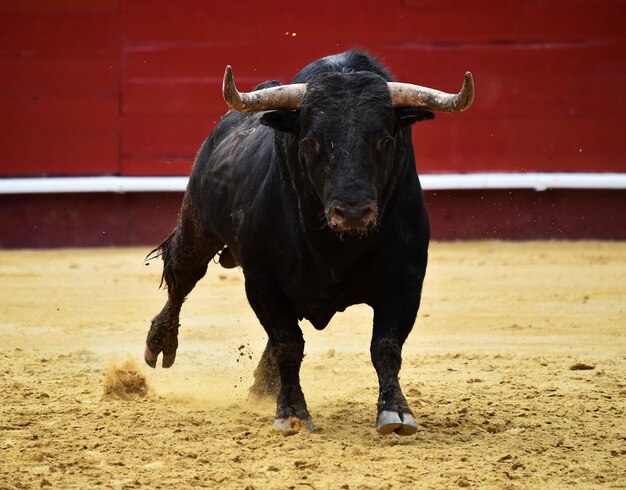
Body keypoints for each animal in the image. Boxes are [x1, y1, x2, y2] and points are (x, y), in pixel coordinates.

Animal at [144, 49, 470, 434]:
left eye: (384, 141)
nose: (353, 213)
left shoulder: (406, 279)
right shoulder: (262, 281)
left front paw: (396, 412)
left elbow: (385, 345)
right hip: (198, 227)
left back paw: (262, 385)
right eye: (312, 142)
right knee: (182, 278)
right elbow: (288, 344)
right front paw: (292, 413)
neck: (335, 246)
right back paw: (159, 344)